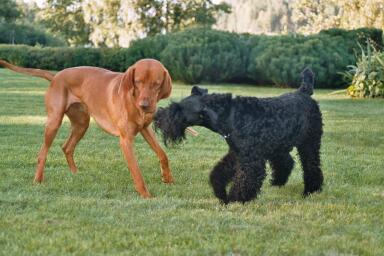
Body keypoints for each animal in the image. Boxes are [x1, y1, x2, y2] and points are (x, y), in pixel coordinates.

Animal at [0, 59, 174, 198]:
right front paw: (146, 195)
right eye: (137, 81)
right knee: (42, 153)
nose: (144, 105)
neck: (133, 100)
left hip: (82, 123)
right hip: (54, 122)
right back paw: (37, 180)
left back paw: (75, 174)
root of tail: (56, 76)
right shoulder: (126, 140)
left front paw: (168, 179)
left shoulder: (145, 129)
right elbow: (137, 172)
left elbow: (163, 154)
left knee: (67, 147)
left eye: (156, 84)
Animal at [154, 68, 322, 204]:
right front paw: (221, 193)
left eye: (178, 110)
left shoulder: (250, 160)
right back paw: (277, 183)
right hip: (277, 145)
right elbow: (218, 173)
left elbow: (244, 181)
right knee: (286, 162)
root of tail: (303, 91)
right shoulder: (236, 153)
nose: (157, 117)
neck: (230, 115)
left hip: (309, 143)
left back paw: (311, 190)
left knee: (311, 166)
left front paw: (234, 200)